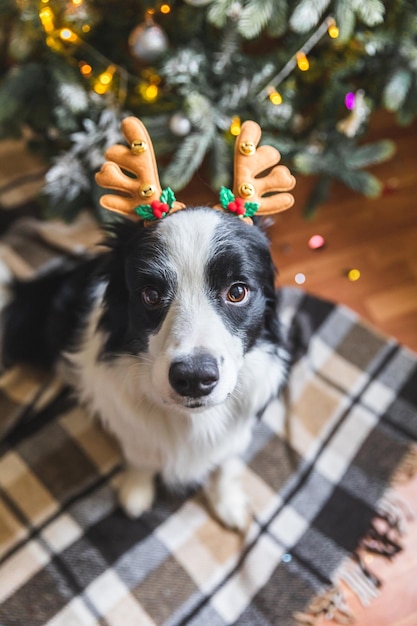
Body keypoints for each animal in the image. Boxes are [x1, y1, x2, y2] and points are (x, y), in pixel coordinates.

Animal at [0, 207, 288, 528]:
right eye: (150, 294)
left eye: (237, 291)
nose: (194, 378)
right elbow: (140, 454)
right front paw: (136, 491)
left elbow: (227, 460)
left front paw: (228, 501)